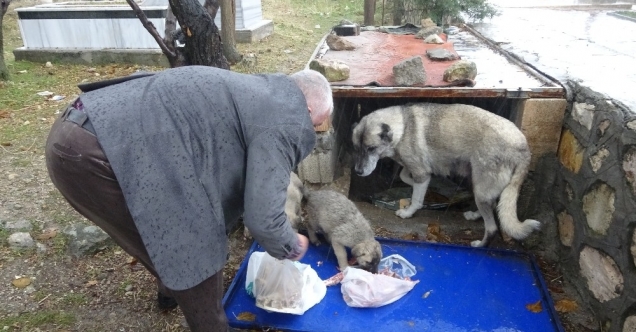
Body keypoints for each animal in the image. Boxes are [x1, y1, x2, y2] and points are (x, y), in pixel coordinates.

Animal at [350, 103, 540, 246]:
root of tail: (523, 148)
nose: (358, 172)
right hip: (480, 187)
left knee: (492, 228)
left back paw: (479, 244)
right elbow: (405, 177)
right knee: (492, 205)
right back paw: (474, 215)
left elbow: (417, 199)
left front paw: (408, 212)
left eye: (371, 149)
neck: (403, 127)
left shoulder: (421, 171)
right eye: (357, 149)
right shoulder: (415, 167)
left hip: (480, 190)